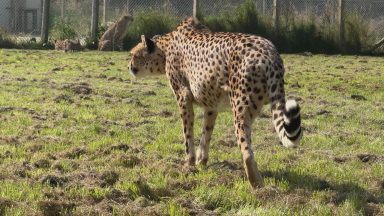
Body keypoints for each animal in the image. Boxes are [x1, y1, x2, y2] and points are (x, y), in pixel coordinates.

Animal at [129, 17, 304, 188]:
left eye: (134, 55)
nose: (129, 66)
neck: (165, 48)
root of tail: (269, 52)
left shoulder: (183, 96)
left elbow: (188, 133)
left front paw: (188, 164)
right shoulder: (211, 106)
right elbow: (205, 134)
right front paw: (201, 162)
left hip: (239, 109)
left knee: (246, 151)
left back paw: (256, 186)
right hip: (254, 106)